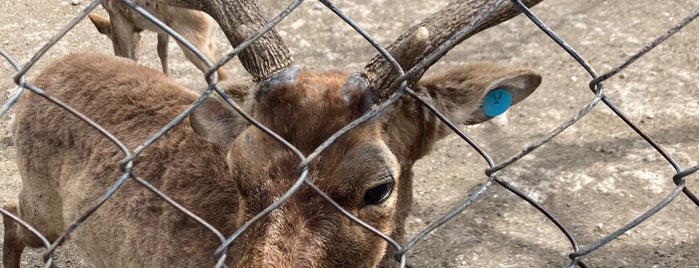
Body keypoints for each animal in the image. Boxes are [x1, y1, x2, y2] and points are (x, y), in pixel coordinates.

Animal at [86, 0, 230, 80]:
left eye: (113, 40)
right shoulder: (163, 27)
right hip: (208, 39)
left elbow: (129, 56)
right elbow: (162, 51)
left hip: (190, 37)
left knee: (220, 74)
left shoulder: (118, 16)